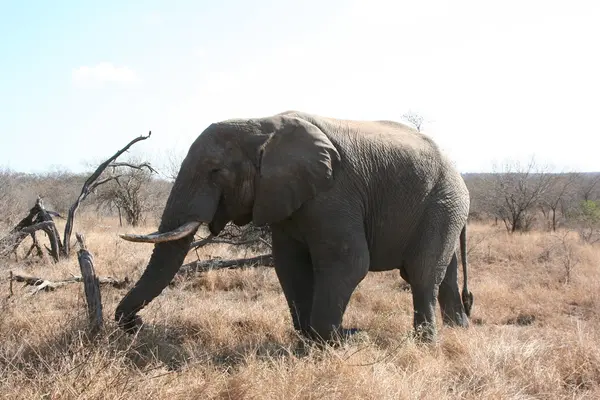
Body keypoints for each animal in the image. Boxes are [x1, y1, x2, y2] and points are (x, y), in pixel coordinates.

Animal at [116, 110, 474, 344]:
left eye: (216, 171)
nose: (136, 324)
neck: (261, 123)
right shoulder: (284, 197)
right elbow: (289, 265)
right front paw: (312, 340)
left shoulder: (334, 193)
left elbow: (349, 262)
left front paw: (334, 342)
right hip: (445, 207)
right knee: (444, 274)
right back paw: (461, 331)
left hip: (442, 201)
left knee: (422, 274)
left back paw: (426, 344)